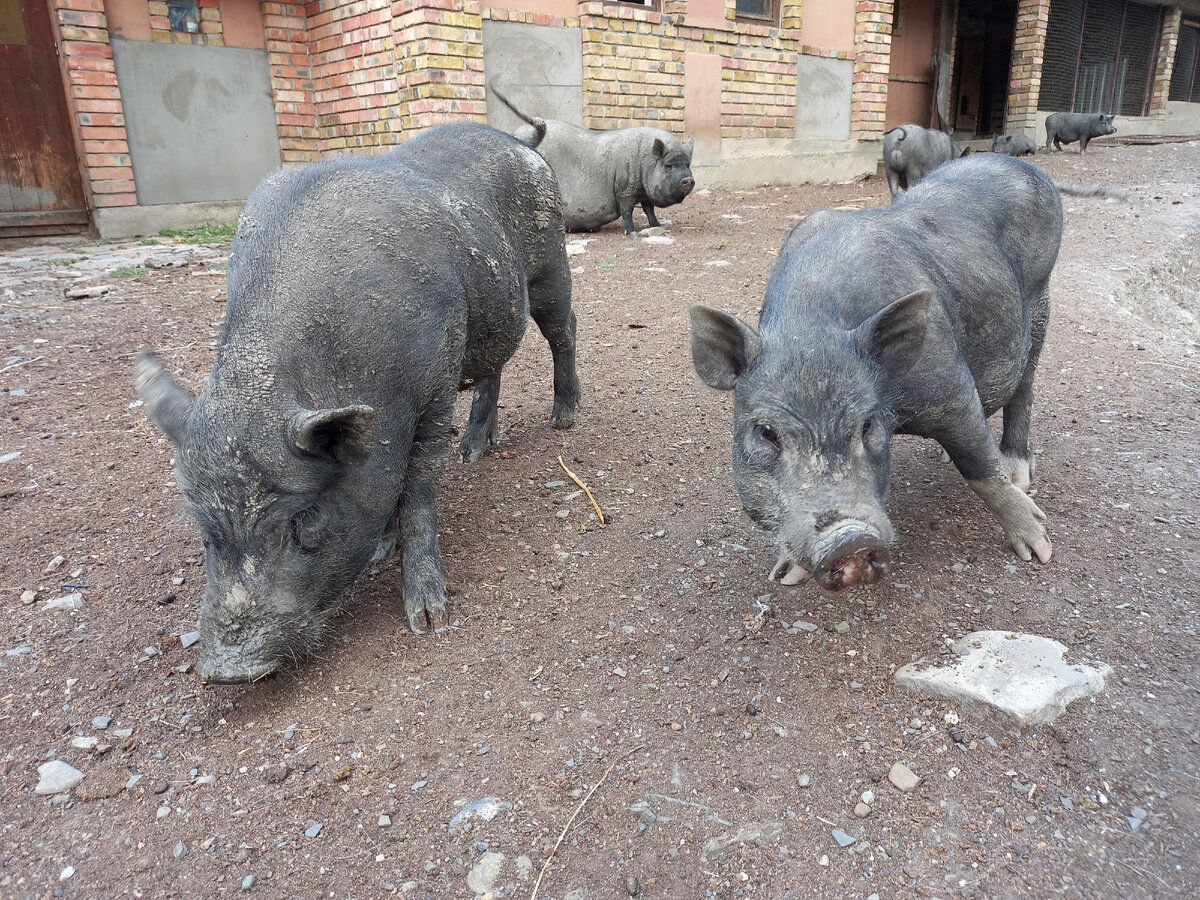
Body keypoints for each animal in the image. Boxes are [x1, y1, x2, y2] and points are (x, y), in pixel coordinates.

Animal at [133, 121, 578, 681]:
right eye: (204, 530)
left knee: (563, 332)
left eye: (302, 518)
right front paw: (383, 548)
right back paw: (473, 453)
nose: (228, 671)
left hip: (552, 263)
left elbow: (418, 490)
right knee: (494, 367)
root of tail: (521, 141)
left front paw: (428, 619)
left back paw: (564, 418)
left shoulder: (435, 388)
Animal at [487, 80, 696, 236]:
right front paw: (633, 233)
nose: (688, 180)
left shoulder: (643, 192)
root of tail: (515, 134)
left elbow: (649, 208)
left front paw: (659, 226)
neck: (645, 162)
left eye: (687, 164)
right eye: (668, 166)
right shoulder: (625, 190)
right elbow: (627, 210)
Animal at [696, 154, 1060, 592]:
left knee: (1024, 387)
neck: (810, 328)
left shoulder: (950, 387)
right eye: (766, 432)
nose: (849, 539)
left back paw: (1018, 473)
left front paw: (1040, 549)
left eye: (868, 424)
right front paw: (785, 576)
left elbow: (980, 467)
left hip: (1040, 302)